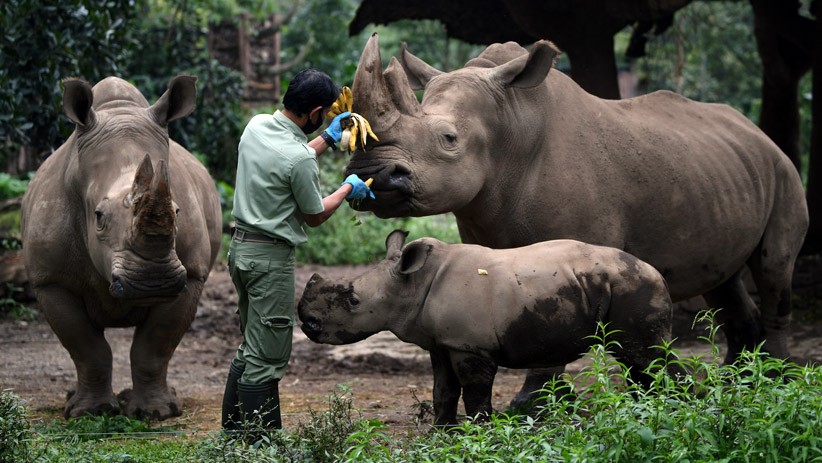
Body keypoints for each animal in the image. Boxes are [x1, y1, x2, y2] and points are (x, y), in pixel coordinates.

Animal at [300, 230, 680, 426]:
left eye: (353, 300)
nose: (307, 323)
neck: (409, 285)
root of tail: (657, 273)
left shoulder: (470, 346)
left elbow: (474, 390)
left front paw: (480, 429)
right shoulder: (444, 343)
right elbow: (443, 388)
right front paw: (442, 430)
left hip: (633, 285)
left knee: (645, 355)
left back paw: (671, 410)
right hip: (619, 284)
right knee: (635, 360)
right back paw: (645, 411)